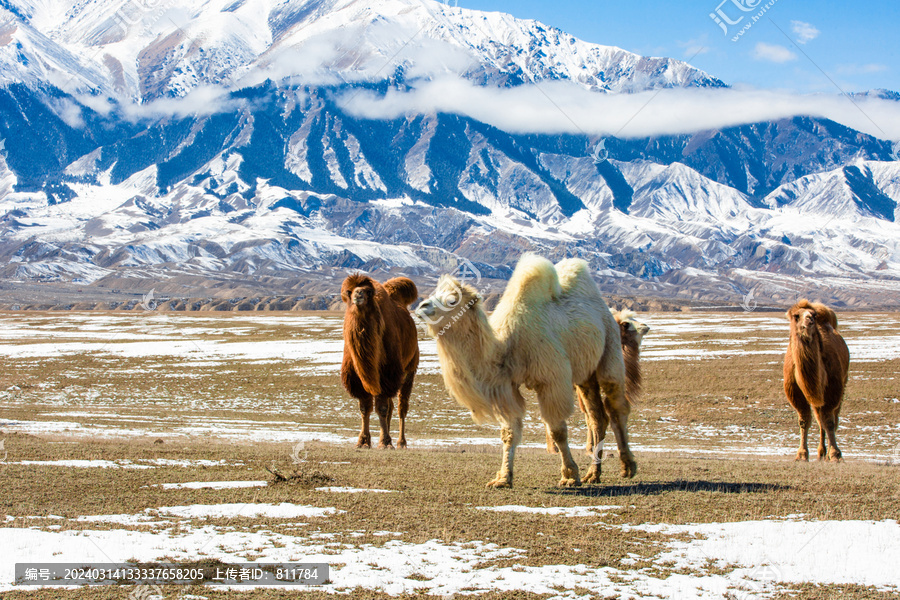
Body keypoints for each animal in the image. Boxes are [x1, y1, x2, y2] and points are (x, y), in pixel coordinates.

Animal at [342, 274, 420, 448]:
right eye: (349, 291)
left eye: (368, 291)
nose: (358, 295)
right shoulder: (357, 379)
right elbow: (365, 408)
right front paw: (363, 441)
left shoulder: (388, 374)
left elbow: (382, 408)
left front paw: (385, 442)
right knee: (391, 406)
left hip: (409, 369)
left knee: (401, 407)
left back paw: (401, 442)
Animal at [414, 253, 632, 488]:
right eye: (434, 293)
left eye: (452, 300)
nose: (422, 306)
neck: (507, 346)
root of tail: (604, 308)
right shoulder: (506, 387)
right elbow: (509, 432)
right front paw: (502, 478)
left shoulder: (551, 379)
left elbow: (557, 430)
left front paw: (569, 475)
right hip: (585, 374)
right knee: (597, 417)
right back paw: (593, 474)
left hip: (610, 346)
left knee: (616, 406)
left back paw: (628, 467)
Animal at [784, 298, 848, 462]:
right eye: (796, 316)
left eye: (813, 314)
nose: (809, 320)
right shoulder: (795, 392)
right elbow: (804, 421)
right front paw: (801, 455)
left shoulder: (833, 388)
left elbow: (829, 421)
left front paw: (835, 454)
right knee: (820, 418)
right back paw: (821, 453)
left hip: (843, 383)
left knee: (829, 418)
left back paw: (826, 453)